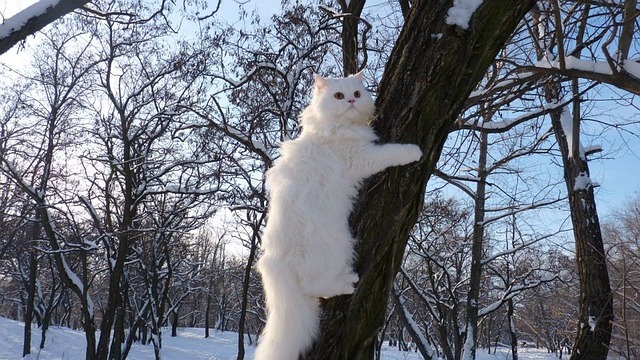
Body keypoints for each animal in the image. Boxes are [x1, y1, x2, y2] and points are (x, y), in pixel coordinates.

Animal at [252, 71, 422, 360]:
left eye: (357, 93)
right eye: (339, 96)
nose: (351, 101)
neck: (333, 127)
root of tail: (275, 260)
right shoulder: (362, 157)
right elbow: (392, 151)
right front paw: (414, 151)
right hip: (338, 243)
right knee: (316, 286)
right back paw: (347, 283)